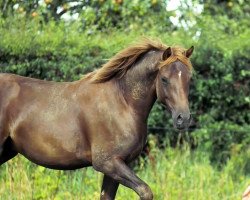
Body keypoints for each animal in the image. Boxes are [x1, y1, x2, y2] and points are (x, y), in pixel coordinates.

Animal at [0, 38, 193, 199]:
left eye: (189, 78)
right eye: (164, 79)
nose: (183, 118)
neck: (122, 102)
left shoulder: (116, 167)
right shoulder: (107, 163)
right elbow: (145, 191)